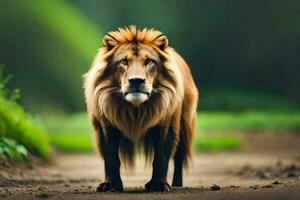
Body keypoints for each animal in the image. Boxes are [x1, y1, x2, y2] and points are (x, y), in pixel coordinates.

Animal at [83, 25, 198, 192]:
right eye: (124, 61)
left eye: (149, 61)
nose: (136, 80)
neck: (135, 110)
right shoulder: (106, 126)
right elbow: (111, 158)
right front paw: (111, 185)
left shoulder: (166, 125)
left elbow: (161, 157)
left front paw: (159, 185)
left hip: (184, 124)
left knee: (178, 157)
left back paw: (177, 184)